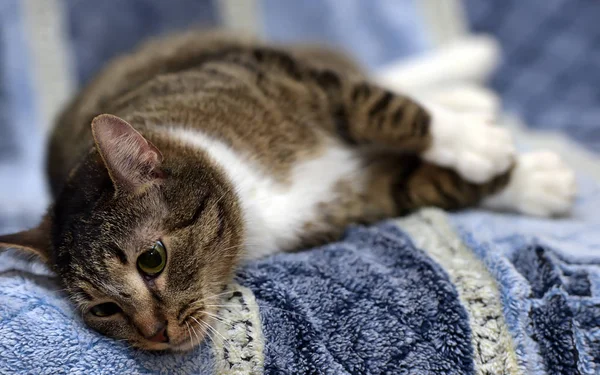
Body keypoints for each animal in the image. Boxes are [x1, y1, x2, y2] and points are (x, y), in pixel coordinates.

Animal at [0, 30, 576, 352]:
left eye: (152, 260)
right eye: (103, 310)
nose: (154, 334)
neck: (249, 192)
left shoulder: (292, 77)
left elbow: (391, 111)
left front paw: (480, 145)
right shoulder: (361, 195)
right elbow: (428, 181)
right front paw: (533, 179)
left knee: (387, 83)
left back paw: (469, 92)